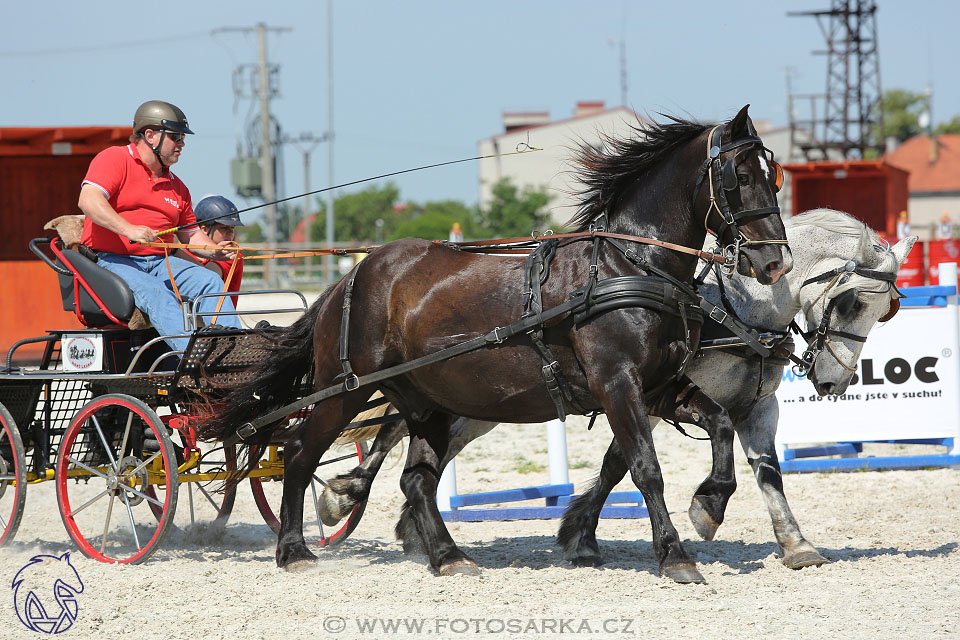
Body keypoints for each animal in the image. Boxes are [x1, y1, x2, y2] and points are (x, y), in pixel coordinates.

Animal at [199, 104, 792, 580]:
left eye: (775, 176)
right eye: (740, 176)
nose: (775, 263)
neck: (628, 266)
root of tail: (353, 275)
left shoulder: (659, 388)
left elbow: (719, 425)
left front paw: (709, 505)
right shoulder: (617, 384)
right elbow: (646, 467)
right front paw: (675, 556)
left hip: (426, 402)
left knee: (416, 480)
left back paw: (448, 557)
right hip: (344, 390)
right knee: (301, 453)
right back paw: (295, 550)